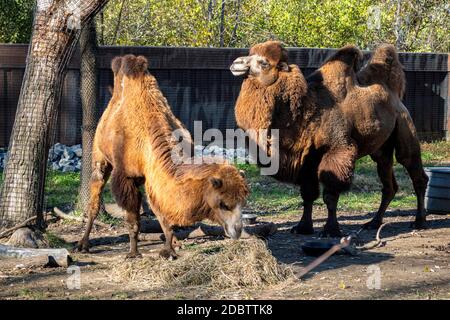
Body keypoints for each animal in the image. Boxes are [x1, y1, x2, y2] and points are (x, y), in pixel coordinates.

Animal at [75, 54, 248, 258]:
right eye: (223, 204)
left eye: (242, 202)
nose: (237, 230)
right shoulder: (126, 177)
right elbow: (133, 219)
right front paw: (134, 253)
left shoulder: (155, 175)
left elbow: (161, 212)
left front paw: (171, 247)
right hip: (100, 155)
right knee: (96, 194)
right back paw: (83, 244)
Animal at [232, 41, 428, 236]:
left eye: (264, 62)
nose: (236, 63)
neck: (306, 113)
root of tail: (396, 97)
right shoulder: (307, 160)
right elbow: (308, 195)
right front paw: (303, 227)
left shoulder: (338, 150)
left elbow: (330, 194)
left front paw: (331, 229)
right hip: (381, 150)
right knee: (388, 183)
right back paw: (373, 222)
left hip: (405, 127)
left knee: (414, 170)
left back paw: (419, 221)